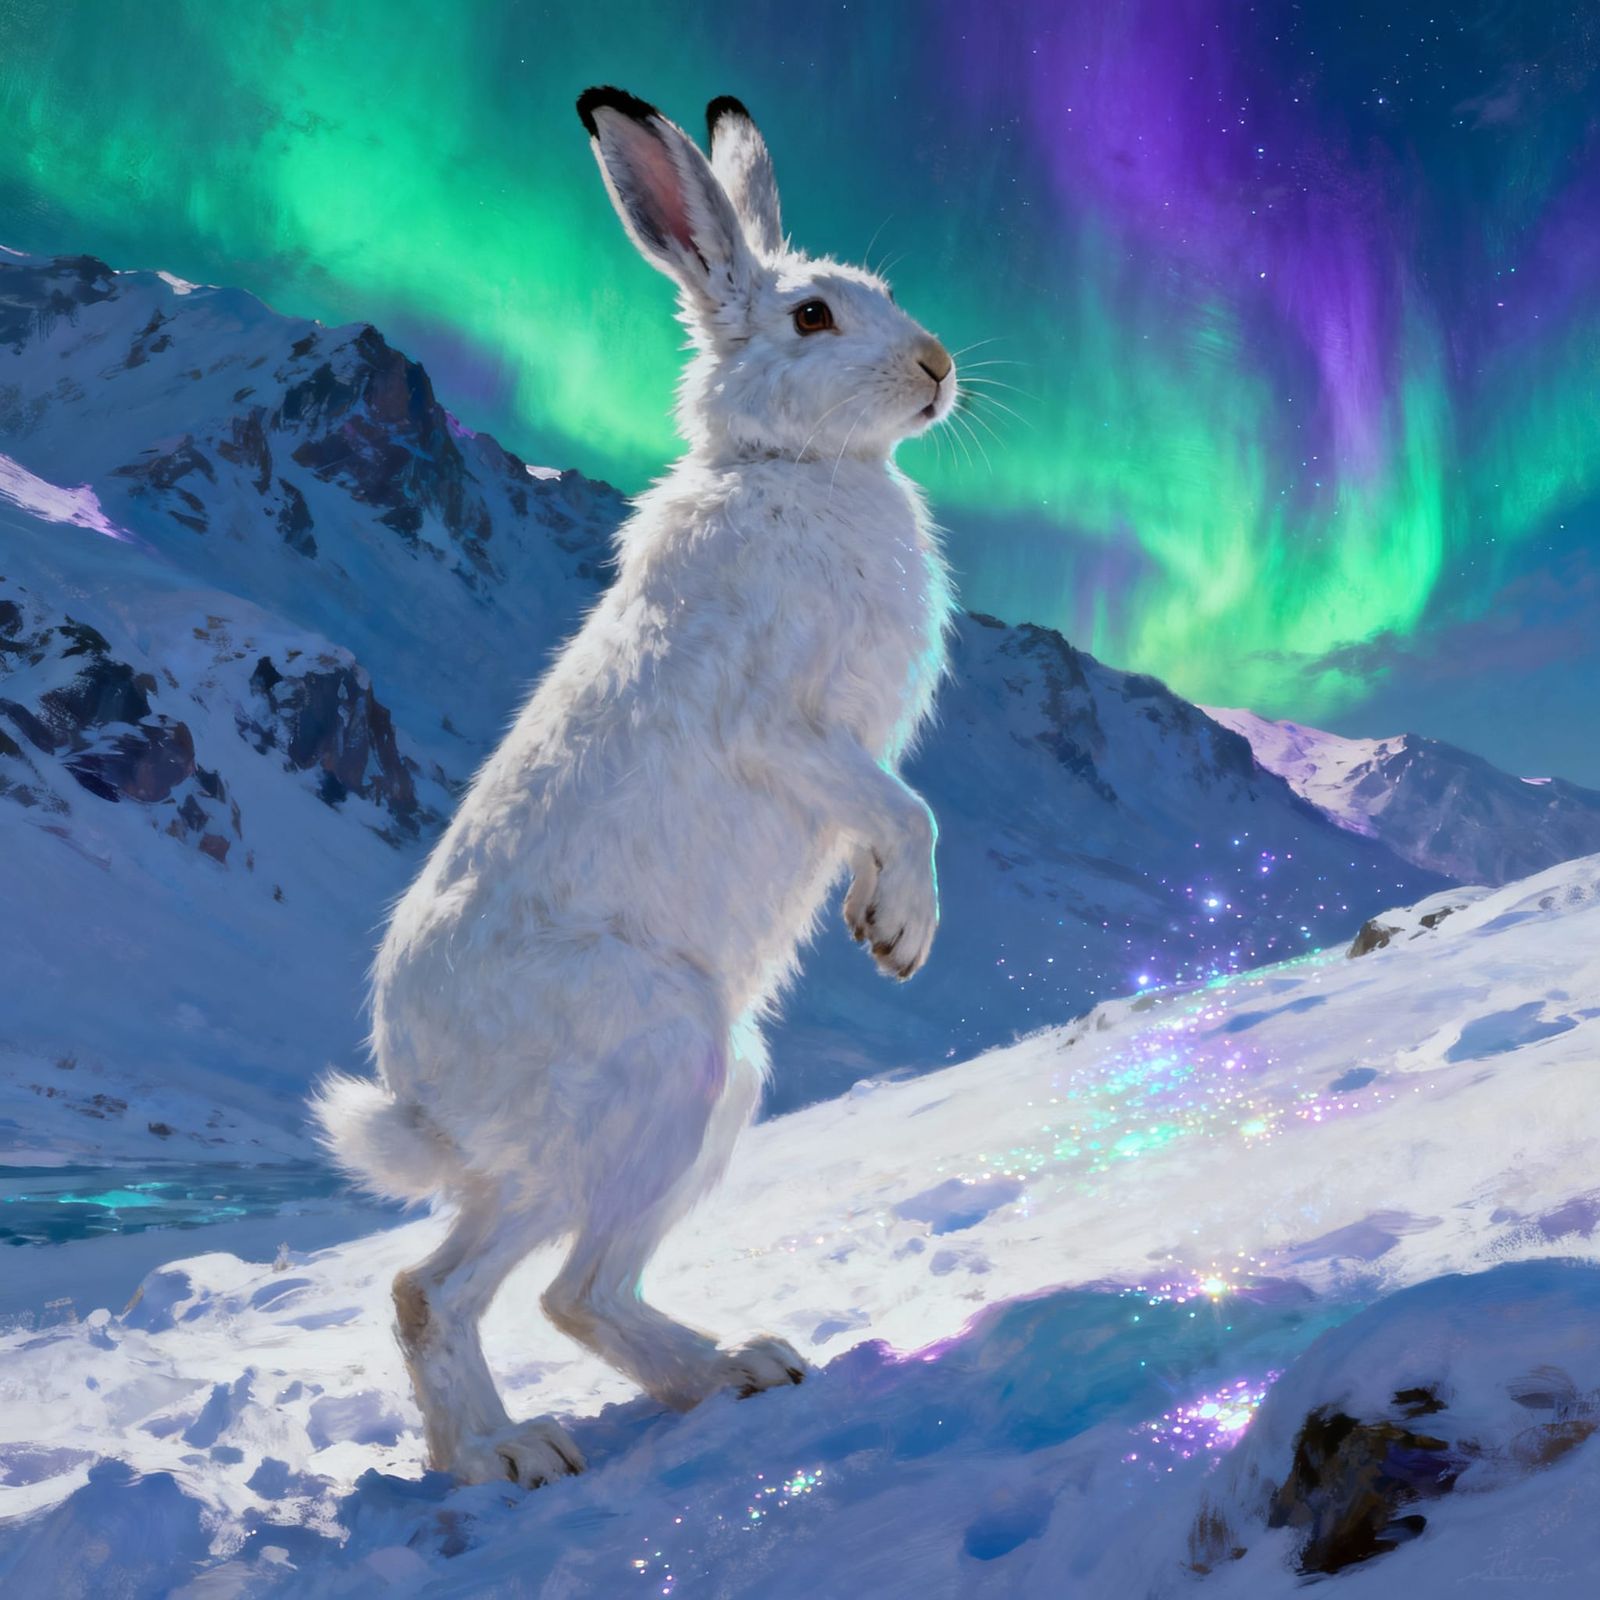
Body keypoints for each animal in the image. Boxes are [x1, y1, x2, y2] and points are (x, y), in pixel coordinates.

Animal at [312, 86, 959, 1488]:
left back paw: (701, 1380)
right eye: (812, 317)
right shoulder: (783, 723)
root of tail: (424, 1095)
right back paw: (519, 1455)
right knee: (484, 1290)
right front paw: (897, 934)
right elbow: (906, 808)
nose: (939, 365)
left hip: (704, 1094)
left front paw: (880, 920)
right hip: (659, 1063)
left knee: (522, 1289)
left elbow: (892, 811)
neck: (794, 466)